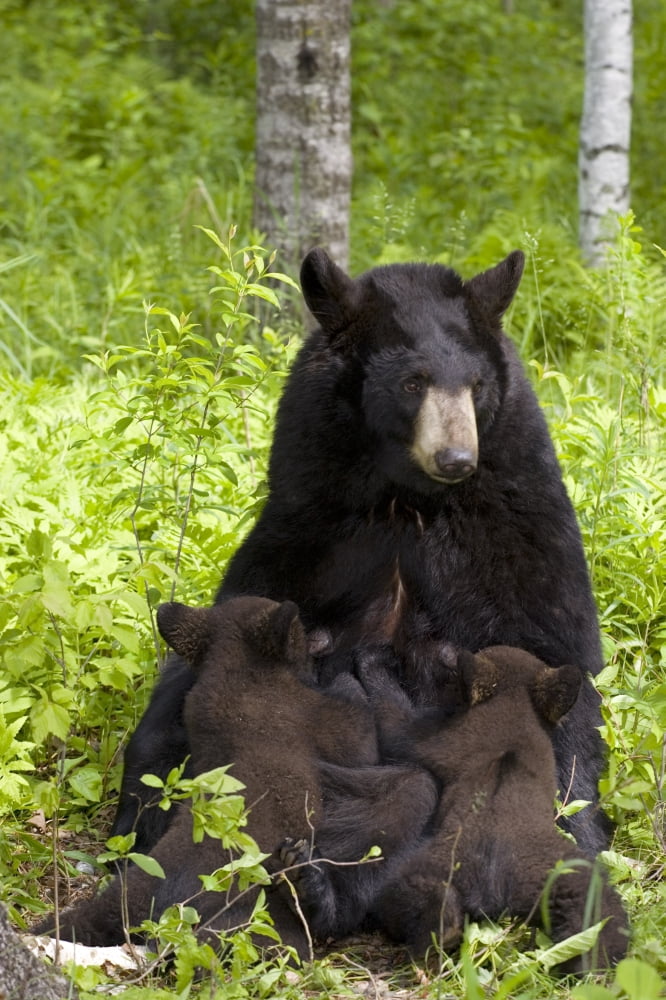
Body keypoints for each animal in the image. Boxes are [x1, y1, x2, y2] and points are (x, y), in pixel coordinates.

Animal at [112, 247, 609, 859]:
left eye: (475, 384)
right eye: (413, 383)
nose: (456, 458)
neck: (405, 500)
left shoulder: (517, 533)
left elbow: (554, 665)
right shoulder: (307, 532)